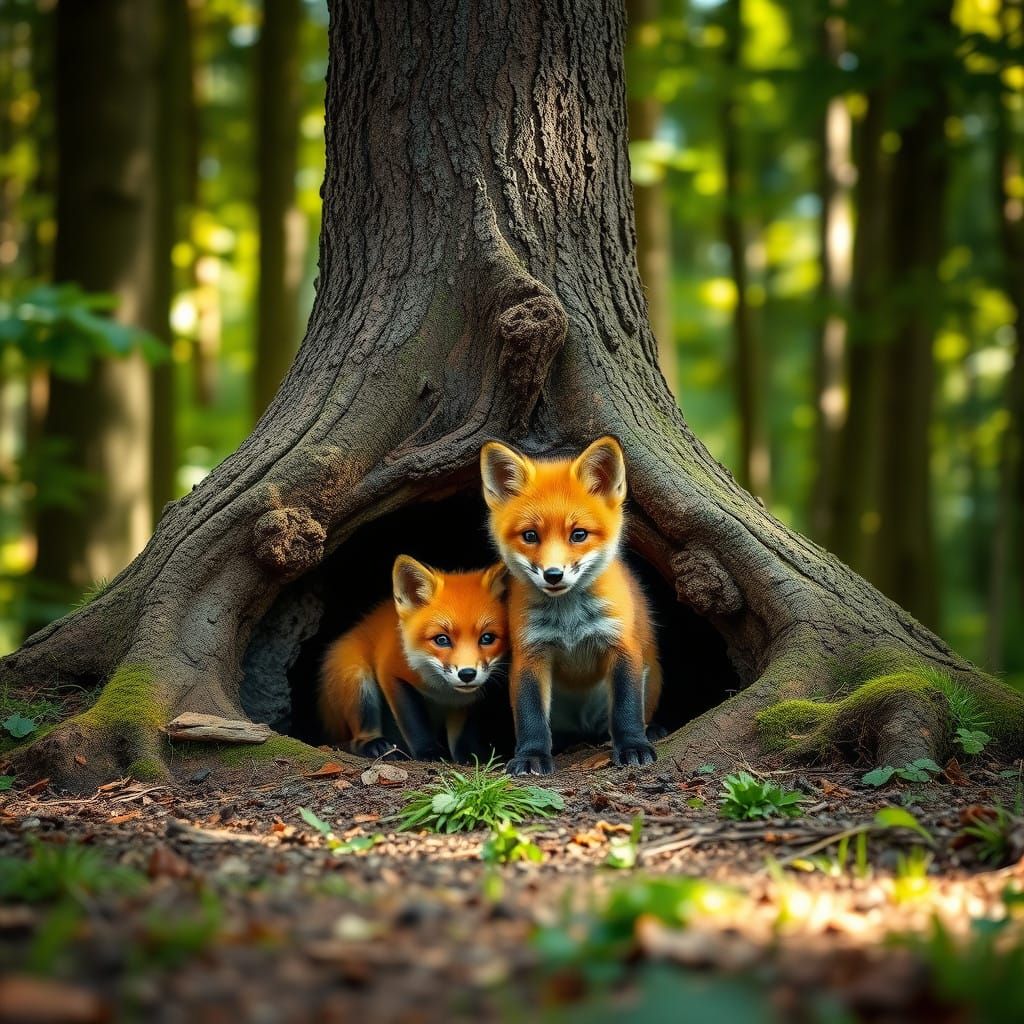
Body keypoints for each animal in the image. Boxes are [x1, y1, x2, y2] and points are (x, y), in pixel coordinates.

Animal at [319, 556, 508, 762]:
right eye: (442, 640)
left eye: (487, 638)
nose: (467, 674)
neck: (443, 691)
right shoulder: (392, 672)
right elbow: (415, 725)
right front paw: (428, 752)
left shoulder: (467, 698)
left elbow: (462, 736)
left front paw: (470, 758)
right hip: (358, 682)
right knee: (352, 740)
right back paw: (373, 744)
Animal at [480, 436, 662, 776]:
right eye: (530, 535)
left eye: (578, 534)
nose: (553, 575)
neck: (569, 622)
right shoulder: (530, 653)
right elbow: (531, 717)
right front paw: (531, 756)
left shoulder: (621, 644)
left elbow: (627, 708)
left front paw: (633, 746)